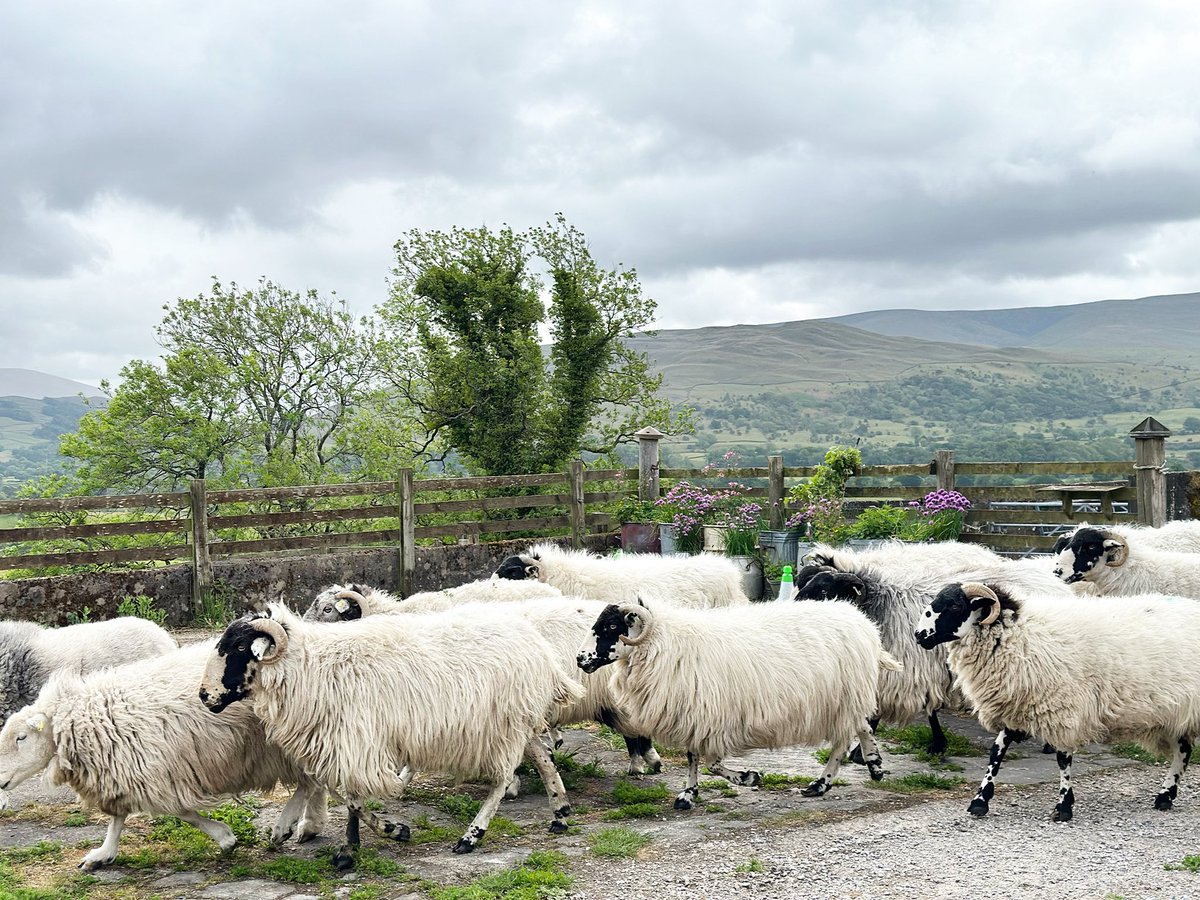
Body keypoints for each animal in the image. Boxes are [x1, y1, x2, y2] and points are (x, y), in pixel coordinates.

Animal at [0, 640, 326, 871]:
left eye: (21, 737)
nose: (0, 779)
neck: (84, 720)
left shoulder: (156, 770)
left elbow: (182, 812)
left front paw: (224, 837)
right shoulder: (122, 772)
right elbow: (117, 819)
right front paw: (103, 854)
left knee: (310, 781)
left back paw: (285, 824)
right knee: (315, 781)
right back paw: (310, 825)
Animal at [199, 603, 585, 858]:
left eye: (238, 647)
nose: (204, 696)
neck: (308, 669)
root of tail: (538, 647)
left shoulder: (356, 741)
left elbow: (352, 799)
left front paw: (391, 832)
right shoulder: (341, 744)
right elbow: (346, 796)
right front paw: (352, 848)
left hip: (502, 724)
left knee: (504, 779)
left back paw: (471, 836)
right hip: (516, 720)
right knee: (543, 757)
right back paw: (560, 813)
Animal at [576, 598, 901, 809]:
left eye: (612, 626)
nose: (580, 659)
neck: (663, 645)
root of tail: (863, 623)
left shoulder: (711, 717)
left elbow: (712, 764)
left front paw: (748, 777)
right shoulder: (695, 716)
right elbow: (694, 758)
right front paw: (687, 795)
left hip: (843, 698)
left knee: (843, 742)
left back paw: (822, 784)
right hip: (845, 699)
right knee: (862, 726)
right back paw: (874, 766)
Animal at [915, 581, 1200, 822]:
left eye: (955, 606)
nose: (918, 635)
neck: (1020, 637)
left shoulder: (1062, 709)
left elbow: (1063, 759)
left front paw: (1063, 806)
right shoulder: (1017, 707)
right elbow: (996, 752)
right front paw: (979, 801)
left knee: (1183, 751)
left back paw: (1166, 795)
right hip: (1179, 713)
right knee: (1184, 751)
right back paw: (1165, 797)